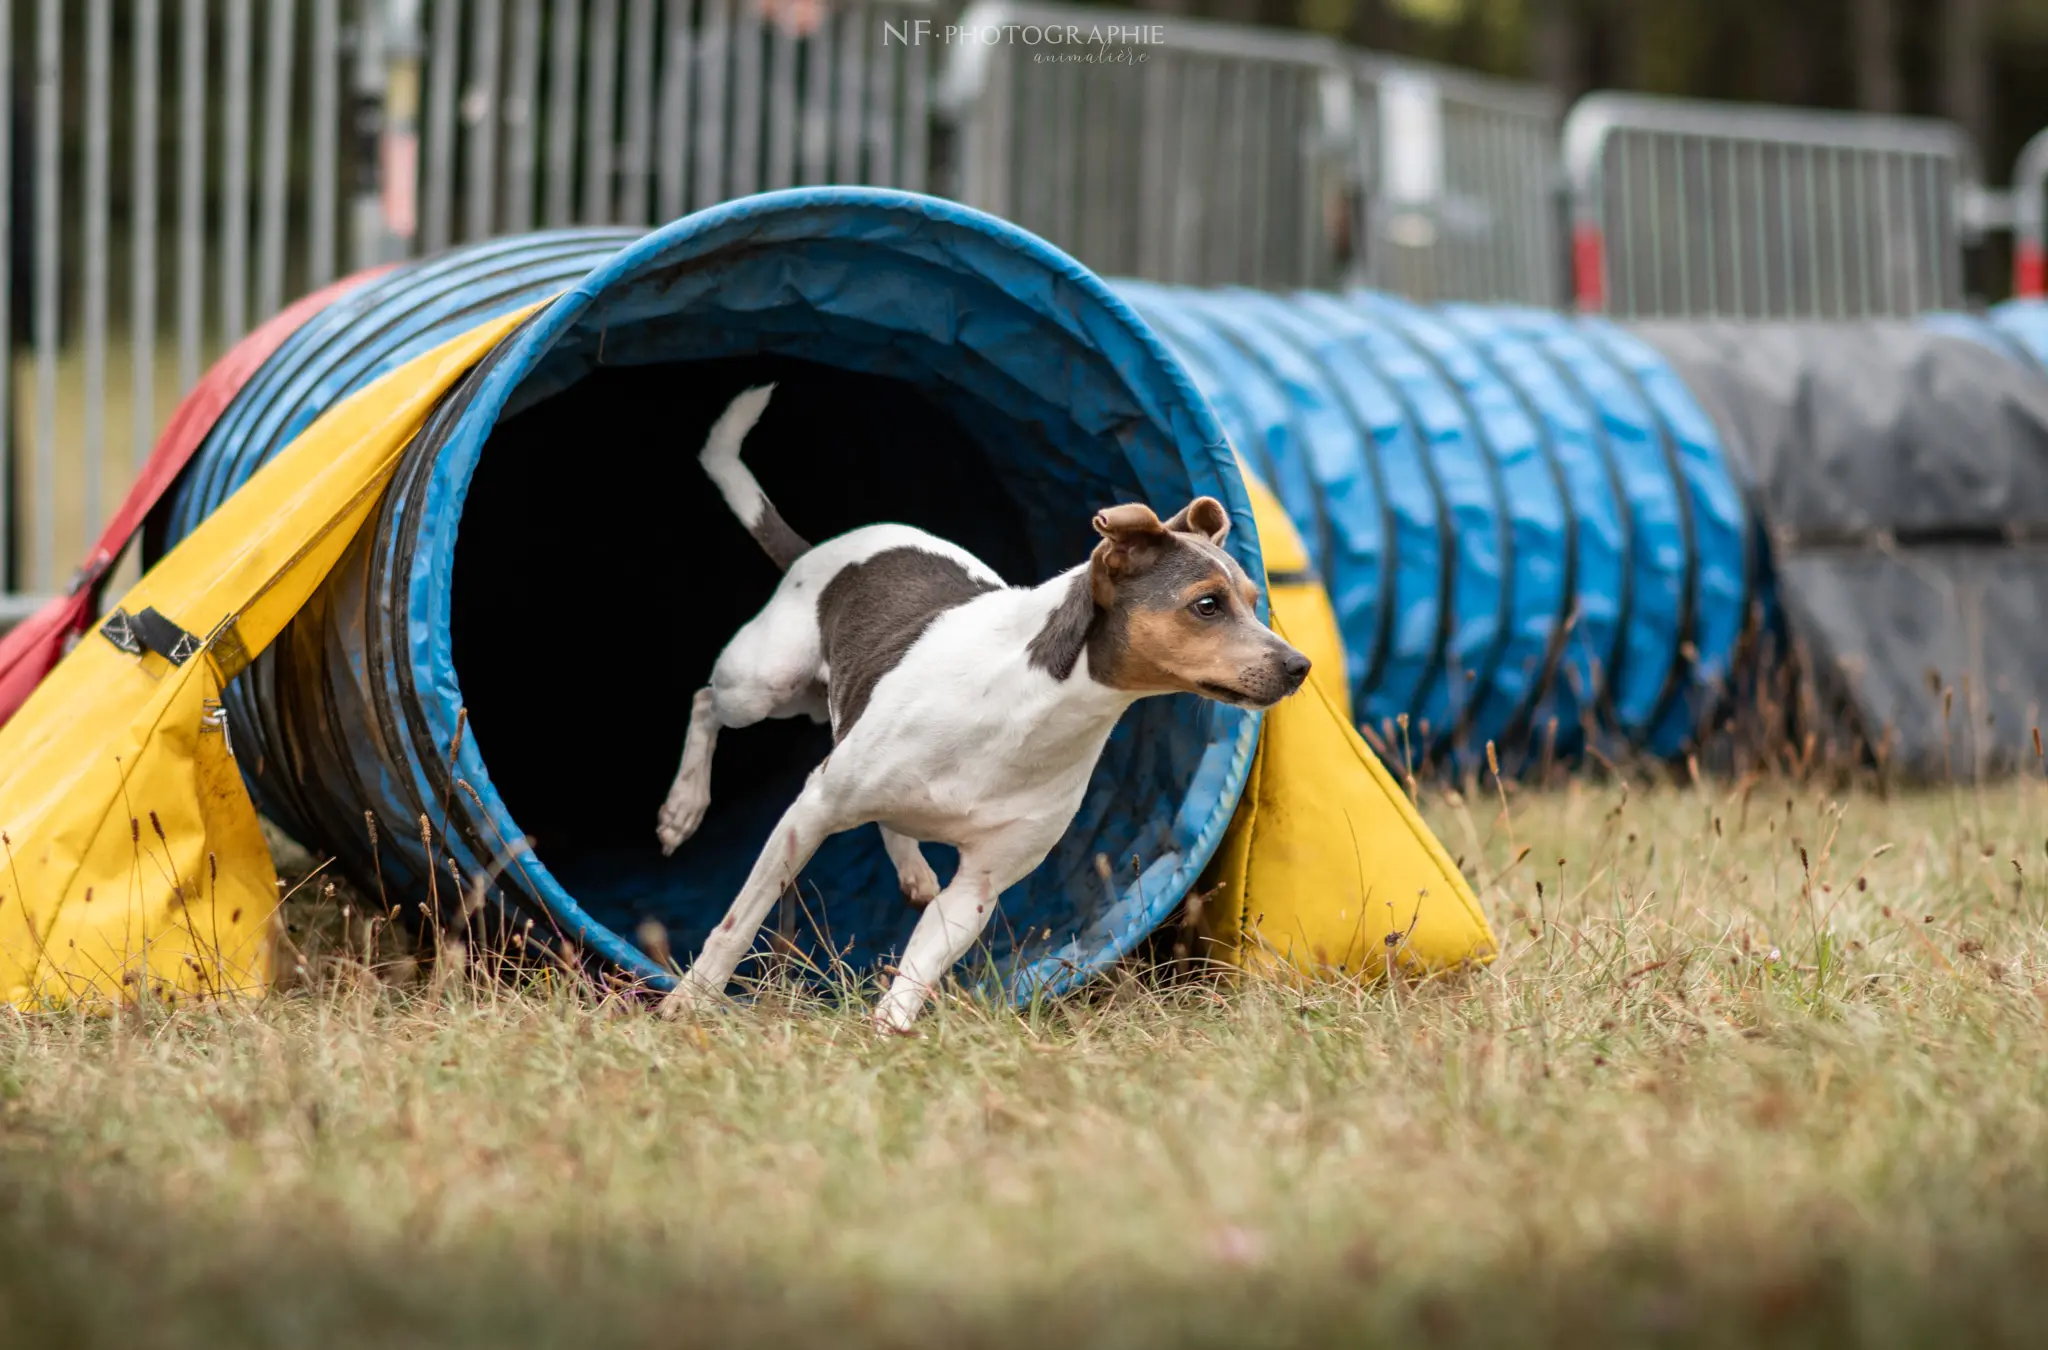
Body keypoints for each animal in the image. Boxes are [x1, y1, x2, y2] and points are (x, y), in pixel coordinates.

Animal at [651, 385, 1310, 1028]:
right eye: (1207, 605)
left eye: (1255, 601)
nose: (1300, 666)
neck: (1034, 711)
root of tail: (814, 552)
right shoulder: (808, 815)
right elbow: (738, 922)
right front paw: (691, 998)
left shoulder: (976, 889)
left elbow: (911, 981)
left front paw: (886, 1039)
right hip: (763, 686)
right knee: (705, 701)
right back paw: (683, 808)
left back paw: (910, 868)